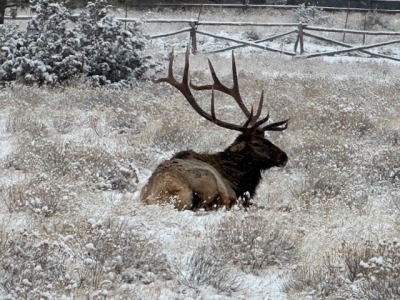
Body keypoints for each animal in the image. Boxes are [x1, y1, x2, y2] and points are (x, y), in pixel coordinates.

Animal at [140, 49, 288, 211]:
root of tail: (164, 191)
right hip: (207, 181)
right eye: (256, 143)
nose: (284, 157)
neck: (238, 180)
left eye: (266, 138)